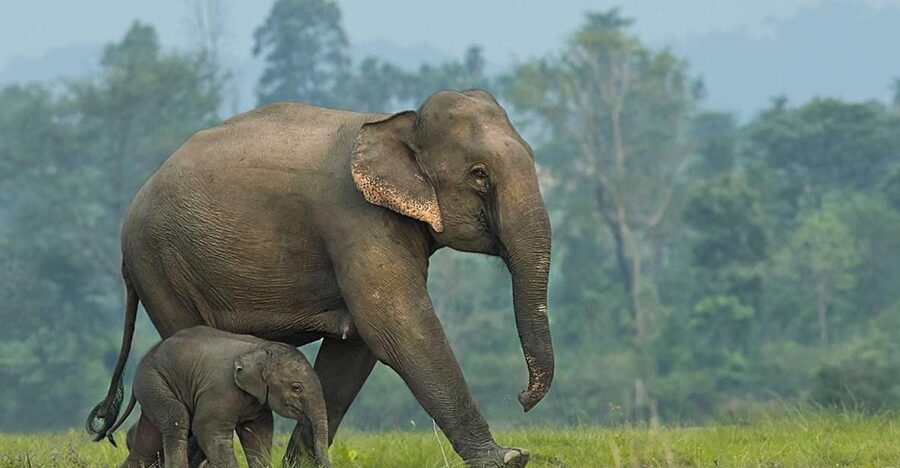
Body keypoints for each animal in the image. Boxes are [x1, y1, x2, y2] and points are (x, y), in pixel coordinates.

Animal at [101, 326, 331, 468]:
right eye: (296, 387)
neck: (261, 348)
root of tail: (147, 356)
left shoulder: (257, 402)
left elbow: (259, 434)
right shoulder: (221, 390)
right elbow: (207, 429)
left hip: (152, 388)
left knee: (147, 444)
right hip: (154, 380)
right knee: (177, 420)